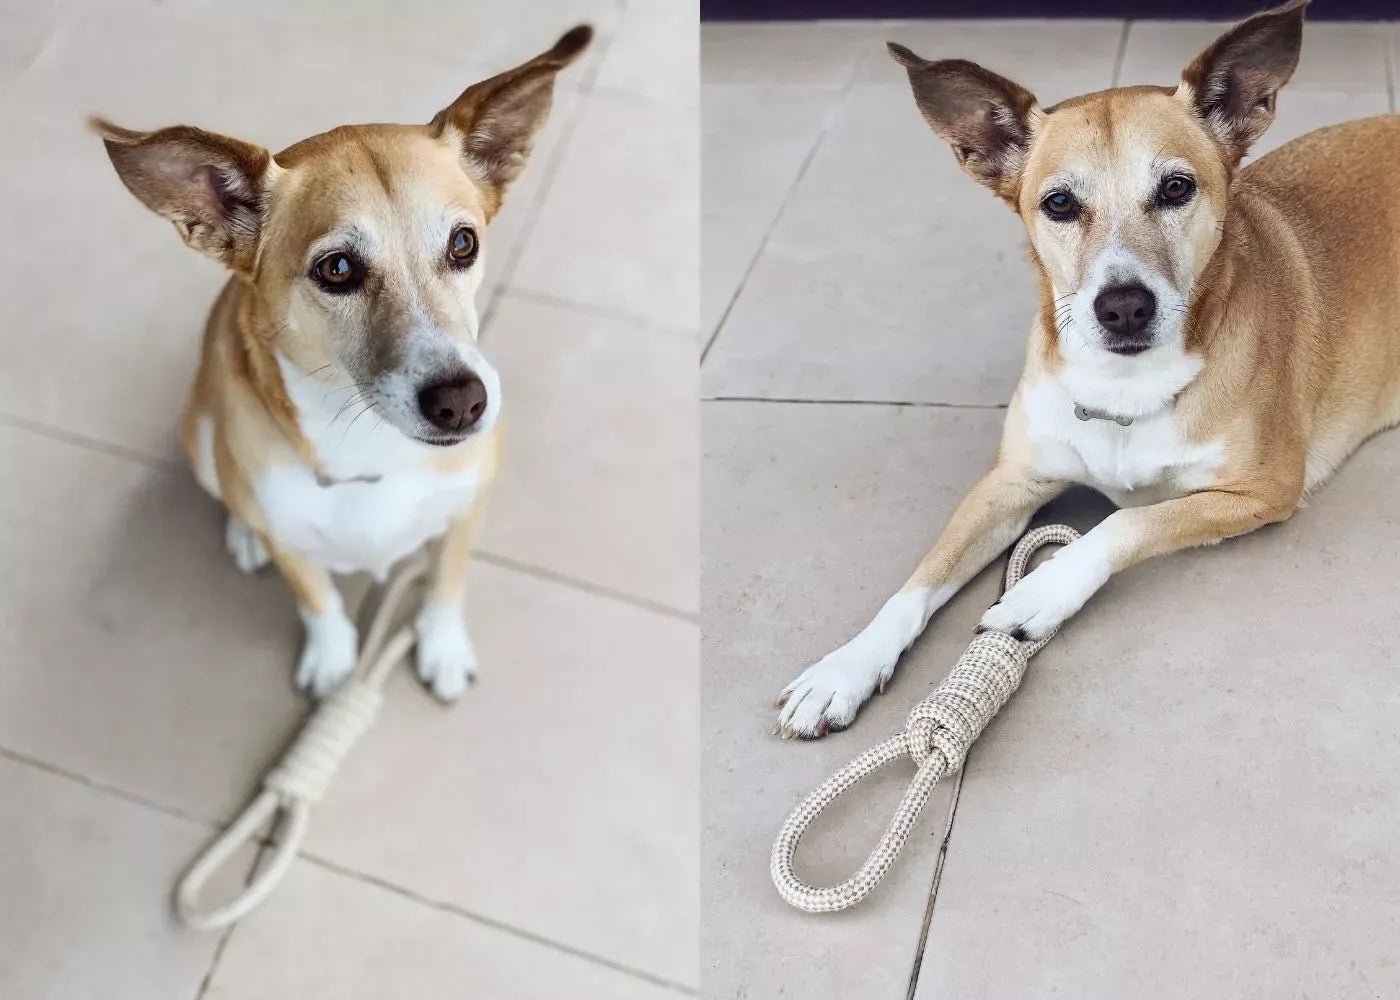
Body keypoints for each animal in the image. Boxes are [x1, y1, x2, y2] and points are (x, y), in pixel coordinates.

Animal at [95, 23, 590, 694]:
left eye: (463, 243)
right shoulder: (294, 549)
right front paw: (332, 662)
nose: (462, 402)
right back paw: (244, 533)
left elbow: (445, 581)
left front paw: (442, 645)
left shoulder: (467, 509)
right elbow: (319, 600)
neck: (372, 447)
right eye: (336, 269)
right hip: (198, 432)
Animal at [778, 0, 1400, 733]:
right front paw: (845, 667)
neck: (1126, 390)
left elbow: (1125, 521)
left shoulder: (1263, 491)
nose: (1124, 306)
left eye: (1176, 188)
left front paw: (1043, 588)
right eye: (1059, 204)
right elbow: (920, 578)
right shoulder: (1008, 482)